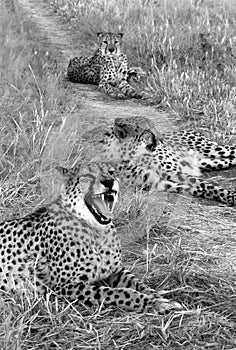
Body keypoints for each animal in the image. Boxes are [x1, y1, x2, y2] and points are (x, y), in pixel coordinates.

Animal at [0, 161, 181, 312]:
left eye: (111, 172)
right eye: (87, 176)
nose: (109, 182)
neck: (97, 230)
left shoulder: (115, 271)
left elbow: (138, 284)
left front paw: (158, 297)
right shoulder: (64, 286)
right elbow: (119, 293)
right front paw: (154, 303)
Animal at [80, 116, 236, 206]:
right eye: (147, 131)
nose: (162, 139)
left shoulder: (175, 173)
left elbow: (205, 184)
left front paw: (230, 196)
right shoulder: (157, 182)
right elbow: (195, 188)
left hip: (213, 150)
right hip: (206, 161)